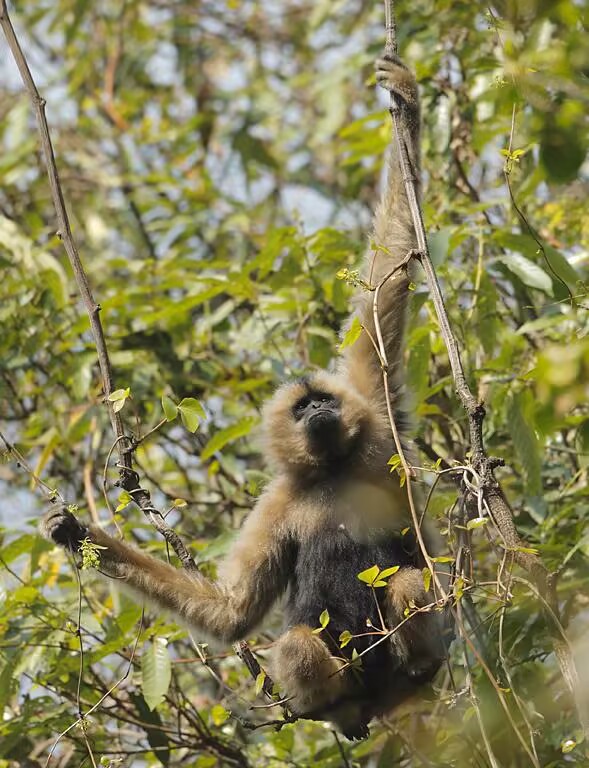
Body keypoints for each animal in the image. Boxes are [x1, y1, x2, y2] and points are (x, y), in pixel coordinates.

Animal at [41, 54, 452, 740]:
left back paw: (417, 667)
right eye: (302, 408)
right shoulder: (279, 501)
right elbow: (232, 612)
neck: (332, 468)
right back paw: (337, 710)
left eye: (322, 401)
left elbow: (386, 287)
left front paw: (407, 98)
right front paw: (74, 533)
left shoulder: (374, 413)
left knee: (410, 586)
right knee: (298, 642)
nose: (319, 410)